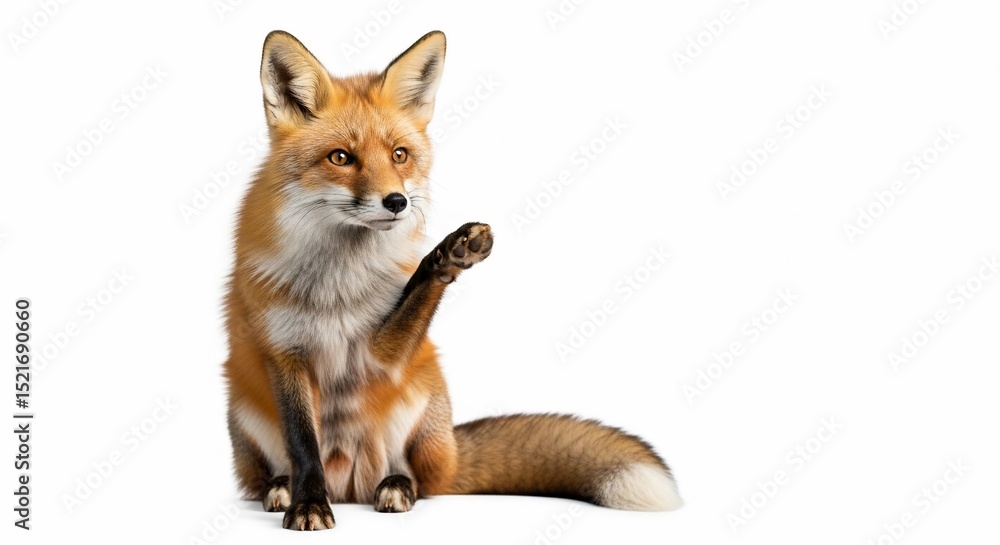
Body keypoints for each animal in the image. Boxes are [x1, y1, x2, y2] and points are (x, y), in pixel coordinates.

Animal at [223, 29, 682, 531]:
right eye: (340, 157)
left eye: (399, 155)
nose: (397, 202)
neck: (338, 285)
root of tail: (348, 487)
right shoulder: (283, 353)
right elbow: (303, 443)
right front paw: (308, 504)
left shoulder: (379, 355)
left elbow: (415, 296)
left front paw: (448, 254)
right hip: (243, 409)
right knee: (278, 472)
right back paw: (282, 489)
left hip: (422, 395)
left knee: (419, 480)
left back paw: (397, 487)